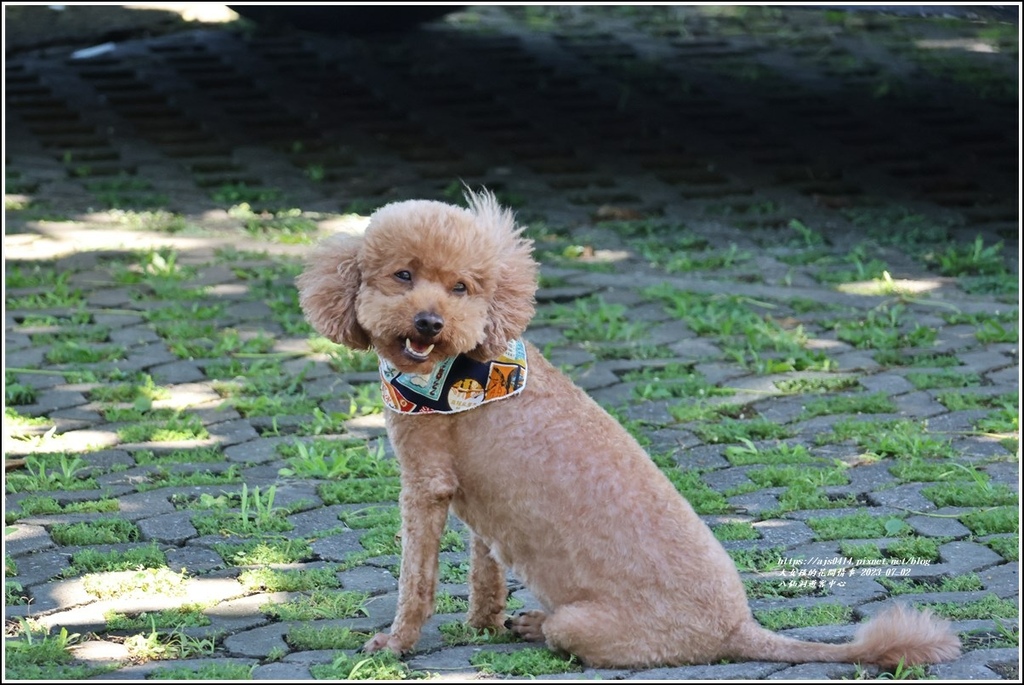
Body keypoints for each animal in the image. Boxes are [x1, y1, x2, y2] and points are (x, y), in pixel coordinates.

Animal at [294, 188, 958, 667]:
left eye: (462, 287)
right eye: (403, 275)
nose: (431, 322)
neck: (463, 370)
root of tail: (739, 629)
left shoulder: (424, 486)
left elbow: (416, 581)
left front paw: (396, 644)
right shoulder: (473, 504)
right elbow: (486, 571)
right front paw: (482, 624)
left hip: (583, 623)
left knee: (567, 637)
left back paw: (536, 626)